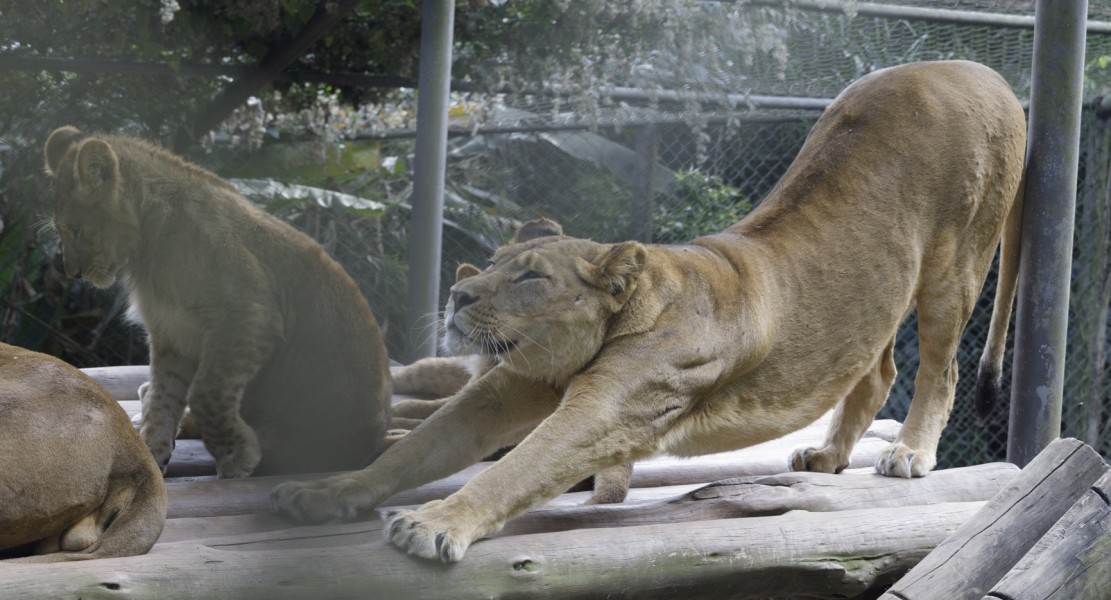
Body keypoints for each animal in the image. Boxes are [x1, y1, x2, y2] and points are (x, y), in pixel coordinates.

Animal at [273, 60, 1026, 562]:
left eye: (530, 276)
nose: (458, 295)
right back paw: (827, 455)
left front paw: (433, 524)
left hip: (955, 264)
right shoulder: (503, 389)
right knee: (872, 372)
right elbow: (417, 447)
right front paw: (326, 492)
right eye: (488, 263)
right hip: (874, 293)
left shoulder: (608, 409)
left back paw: (909, 453)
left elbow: (517, 467)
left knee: (940, 369)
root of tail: (978, 68)